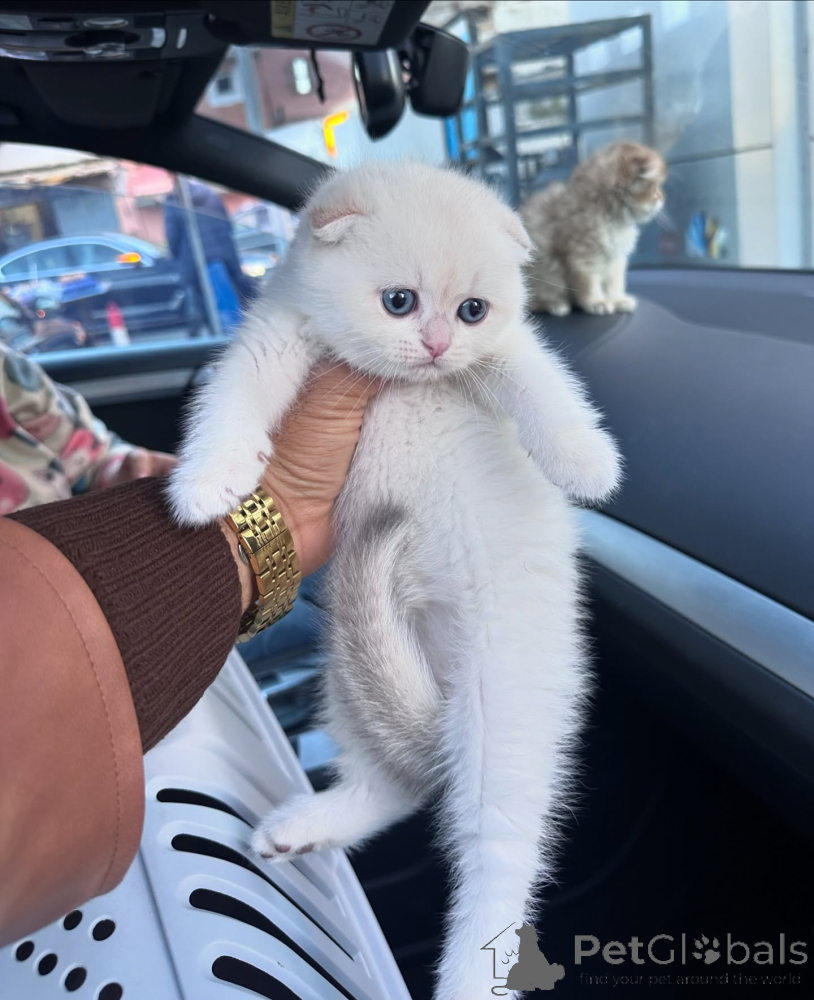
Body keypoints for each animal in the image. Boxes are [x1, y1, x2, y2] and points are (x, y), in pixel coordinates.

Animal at [168, 161, 622, 1000]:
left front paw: (586, 462)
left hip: (502, 711)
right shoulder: (276, 336)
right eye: (399, 302)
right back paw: (304, 826)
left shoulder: (501, 351)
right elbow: (231, 397)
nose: (439, 345)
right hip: (354, 674)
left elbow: (537, 378)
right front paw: (206, 482)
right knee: (400, 783)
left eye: (473, 309)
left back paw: (467, 976)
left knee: (494, 854)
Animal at [520, 140, 666, 316]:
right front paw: (597, 302)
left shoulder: (615, 259)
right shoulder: (582, 257)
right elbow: (589, 284)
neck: (613, 218)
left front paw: (617, 299)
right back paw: (555, 304)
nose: (662, 198)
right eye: (655, 188)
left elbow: (614, 283)